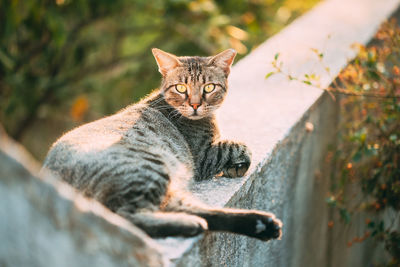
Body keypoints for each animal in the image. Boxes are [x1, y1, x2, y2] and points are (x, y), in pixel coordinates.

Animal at [42, 47, 282, 241]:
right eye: (181, 88)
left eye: (209, 87)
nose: (195, 105)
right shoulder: (204, 156)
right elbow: (240, 146)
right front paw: (238, 164)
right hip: (148, 168)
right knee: (128, 218)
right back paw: (192, 225)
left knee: (197, 212)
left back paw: (260, 224)